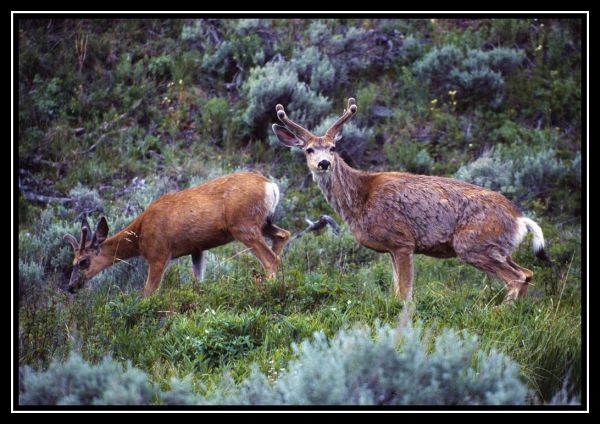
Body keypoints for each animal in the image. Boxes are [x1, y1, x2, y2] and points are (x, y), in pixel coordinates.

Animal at [63, 172, 290, 298]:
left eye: (83, 261)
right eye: (72, 262)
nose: (71, 287)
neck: (139, 237)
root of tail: (271, 186)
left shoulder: (159, 254)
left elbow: (148, 293)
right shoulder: (197, 249)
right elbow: (198, 281)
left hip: (243, 225)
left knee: (270, 258)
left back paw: (268, 288)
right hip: (263, 222)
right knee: (283, 235)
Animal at [274, 97, 552, 304]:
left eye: (332, 147)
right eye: (309, 149)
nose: (323, 163)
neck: (361, 198)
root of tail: (519, 218)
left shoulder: (402, 240)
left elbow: (404, 295)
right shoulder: (390, 248)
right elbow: (395, 290)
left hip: (473, 242)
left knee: (516, 278)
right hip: (498, 247)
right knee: (527, 273)